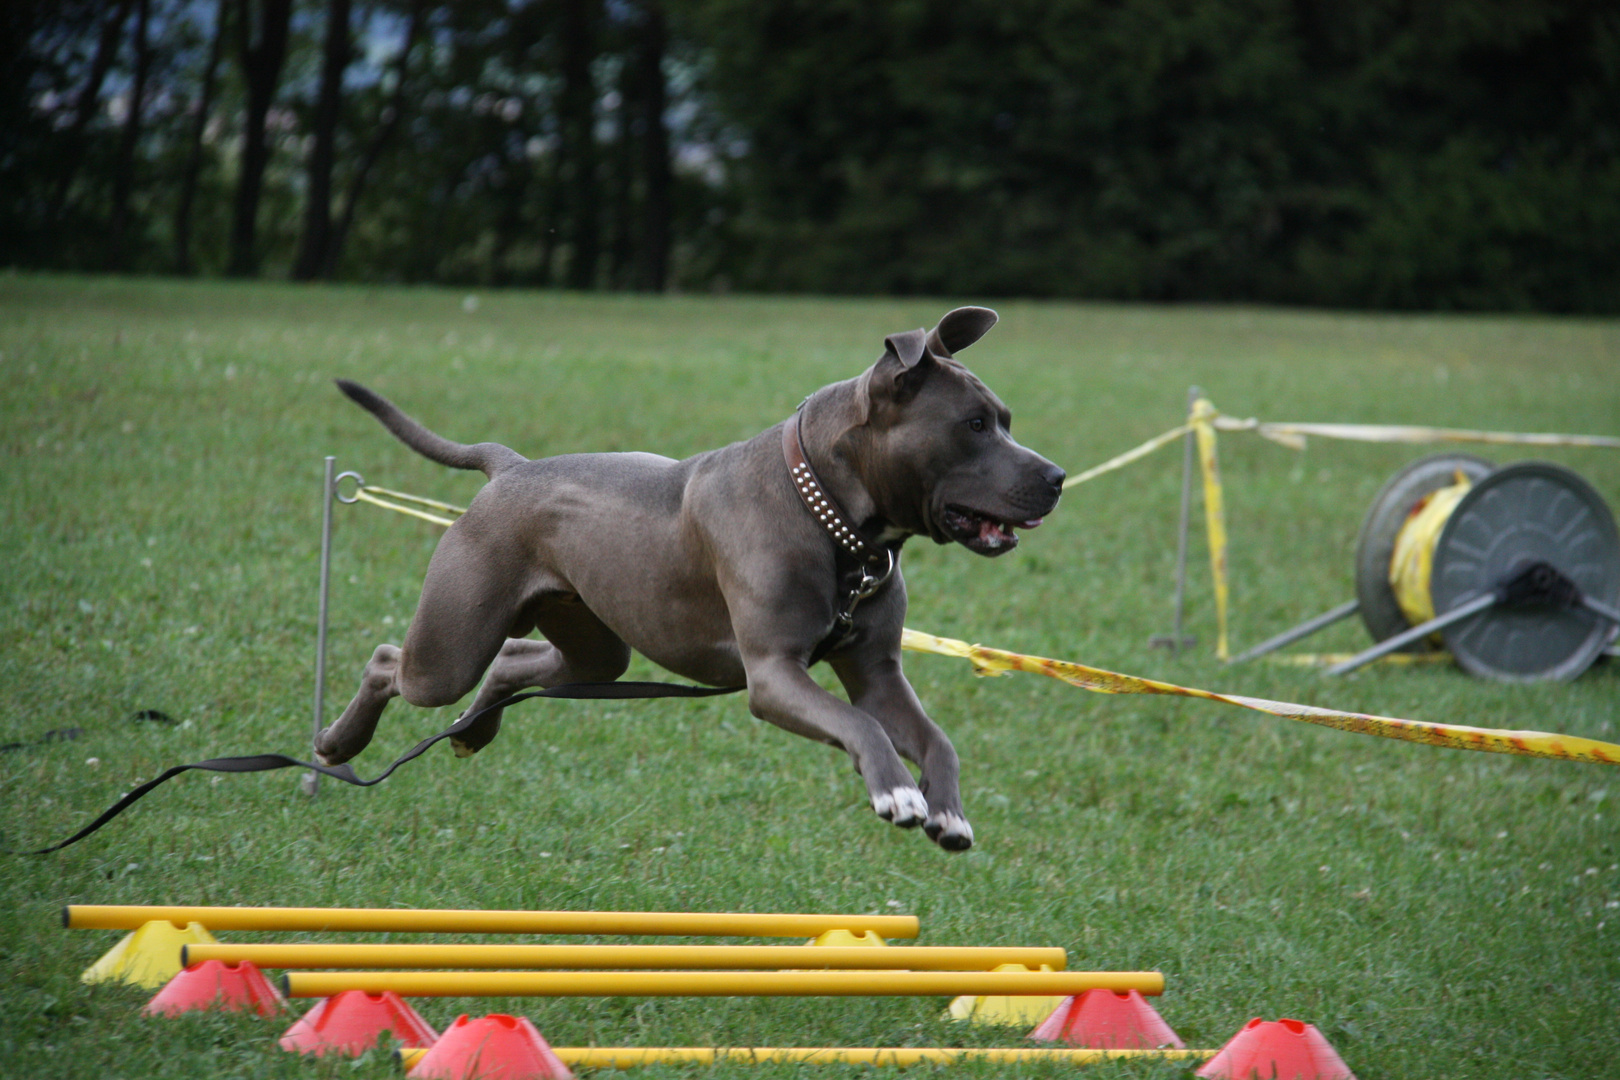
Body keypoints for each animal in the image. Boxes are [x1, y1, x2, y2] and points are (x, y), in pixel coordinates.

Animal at [317, 306, 1069, 854]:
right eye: (974, 424)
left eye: (1005, 420)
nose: (1058, 477)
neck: (832, 515)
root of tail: (511, 467)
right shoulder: (774, 673)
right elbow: (859, 725)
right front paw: (897, 792)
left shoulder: (878, 673)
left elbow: (934, 736)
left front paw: (949, 812)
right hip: (450, 650)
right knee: (390, 661)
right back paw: (337, 744)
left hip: (594, 651)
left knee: (511, 661)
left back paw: (473, 731)